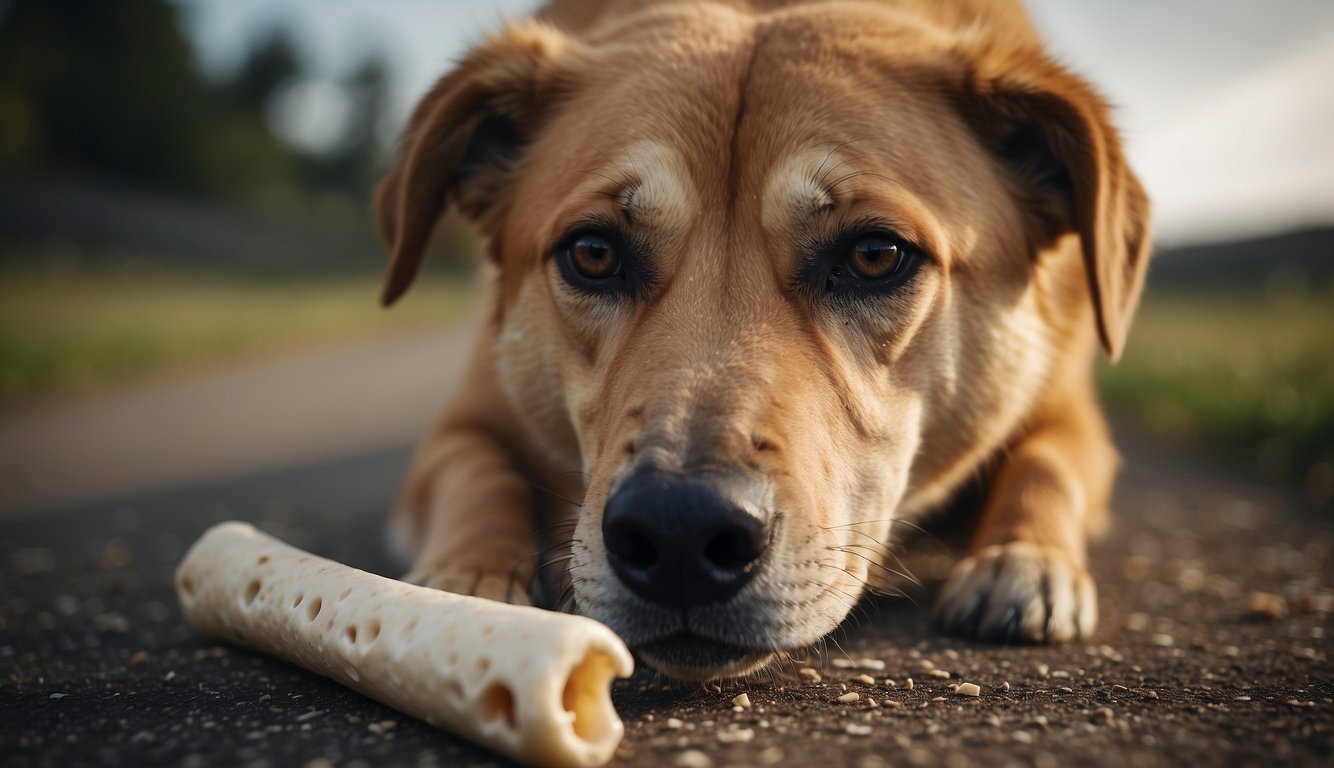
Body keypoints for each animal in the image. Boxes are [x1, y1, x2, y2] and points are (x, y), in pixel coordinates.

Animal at [373, 0, 1147, 680]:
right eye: (592, 253)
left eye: (875, 255)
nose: (678, 531)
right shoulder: (469, 416)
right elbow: (477, 472)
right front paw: (466, 576)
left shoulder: (1064, 404)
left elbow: (1050, 460)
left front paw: (1022, 560)